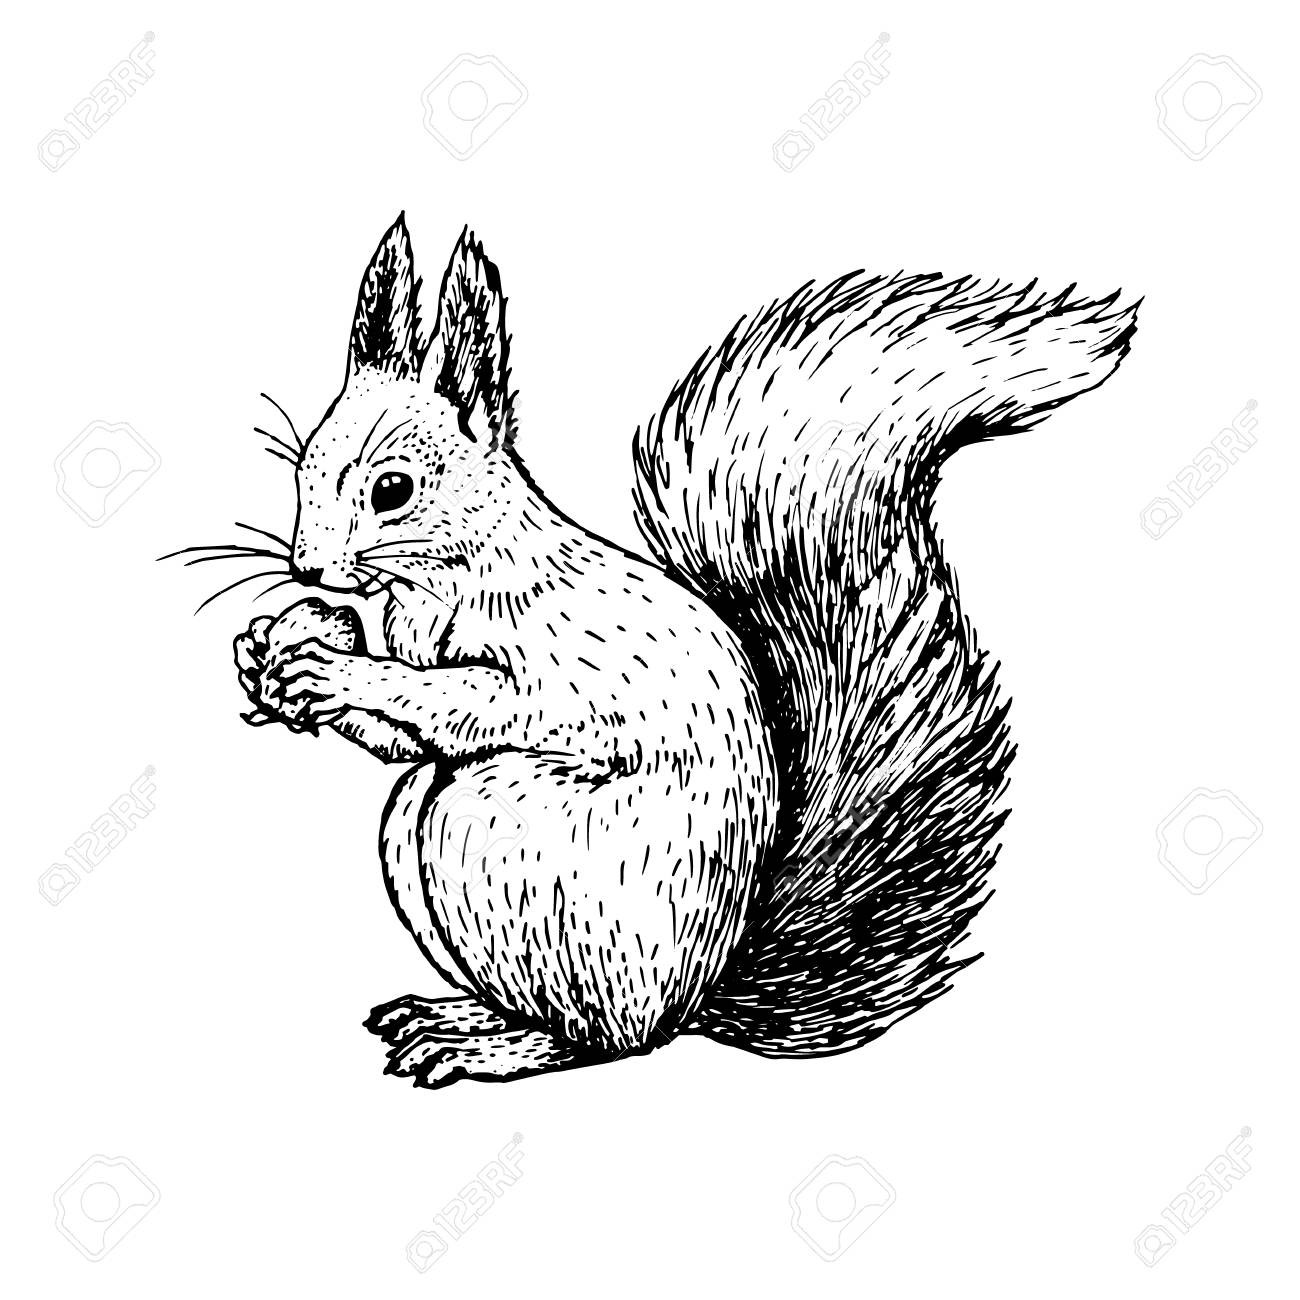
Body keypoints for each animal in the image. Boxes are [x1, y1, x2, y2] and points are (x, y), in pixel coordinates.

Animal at [229, 214, 1137, 1088]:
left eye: (393, 490)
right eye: (303, 468)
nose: (306, 568)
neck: (434, 581)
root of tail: (698, 993)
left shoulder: (549, 664)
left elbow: (469, 702)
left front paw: (335, 666)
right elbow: (400, 742)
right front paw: (279, 647)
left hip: (497, 831)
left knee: (605, 1038)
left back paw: (495, 1045)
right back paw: (459, 1015)